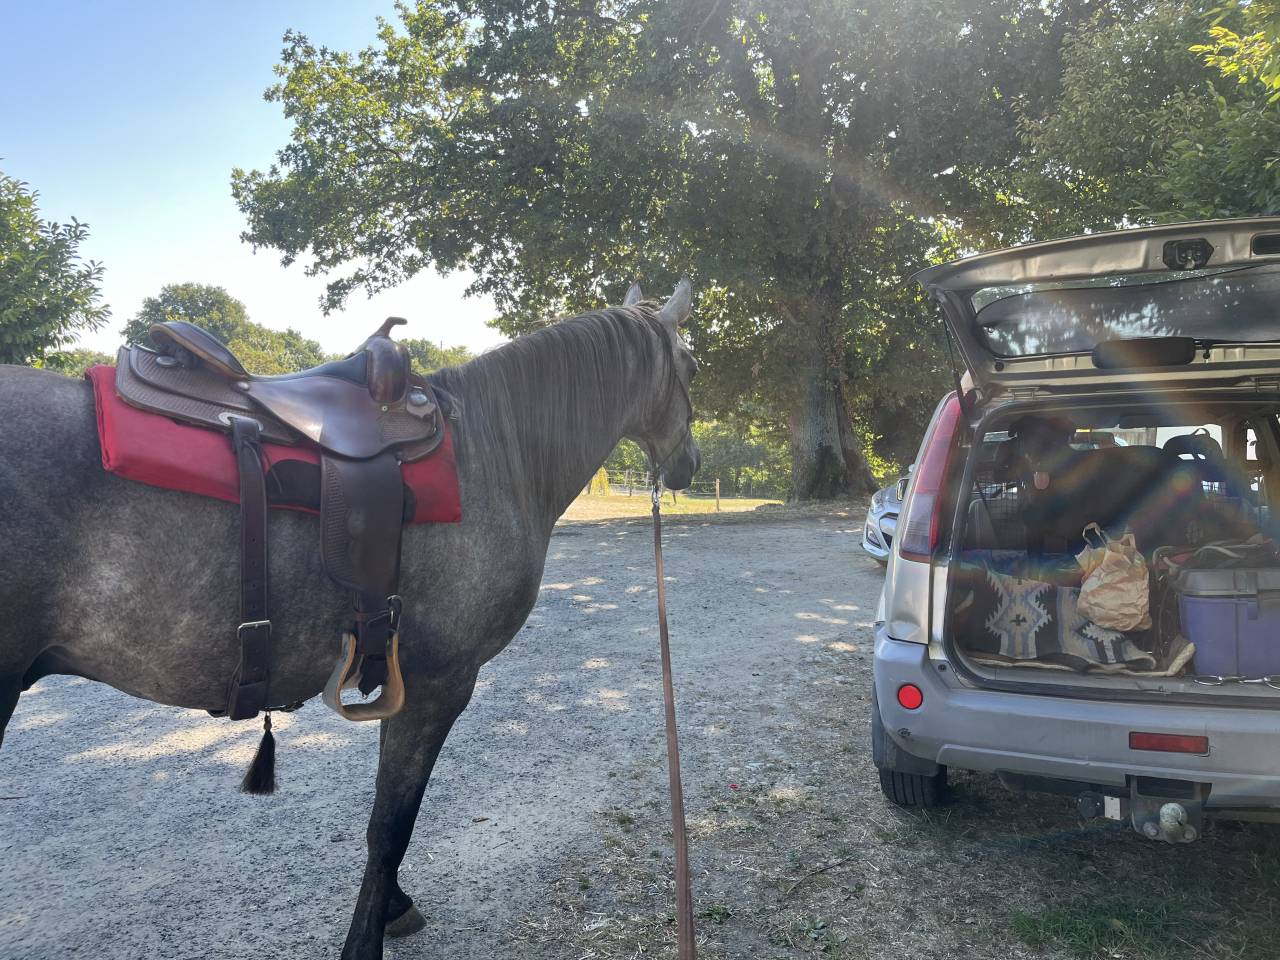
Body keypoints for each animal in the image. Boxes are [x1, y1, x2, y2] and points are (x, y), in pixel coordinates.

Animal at [0, 280, 700, 960]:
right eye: (691, 366)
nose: (690, 463)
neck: (496, 455)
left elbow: (384, 823)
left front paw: (392, 907)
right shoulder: (439, 684)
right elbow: (391, 826)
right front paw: (368, 938)